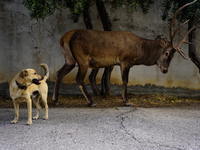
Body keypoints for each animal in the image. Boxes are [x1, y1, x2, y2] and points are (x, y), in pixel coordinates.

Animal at [51, 0, 197, 107]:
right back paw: (91, 102)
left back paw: (56, 100)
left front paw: (123, 98)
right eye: (167, 53)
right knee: (79, 78)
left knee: (59, 73)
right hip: (82, 59)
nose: (165, 70)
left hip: (69, 58)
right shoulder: (126, 60)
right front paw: (126, 101)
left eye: (173, 55)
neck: (139, 50)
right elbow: (125, 80)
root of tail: (64, 38)